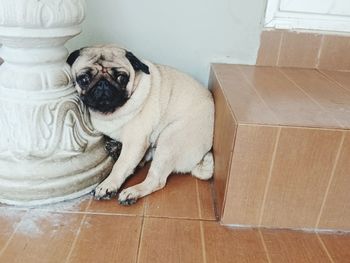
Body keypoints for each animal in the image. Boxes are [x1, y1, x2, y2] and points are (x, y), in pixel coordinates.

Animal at [66, 46, 213, 206]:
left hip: (169, 139)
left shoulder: (135, 142)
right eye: (84, 79)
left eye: (121, 78)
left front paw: (108, 185)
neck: (110, 113)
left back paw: (133, 191)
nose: (103, 84)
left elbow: (121, 165)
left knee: (156, 180)